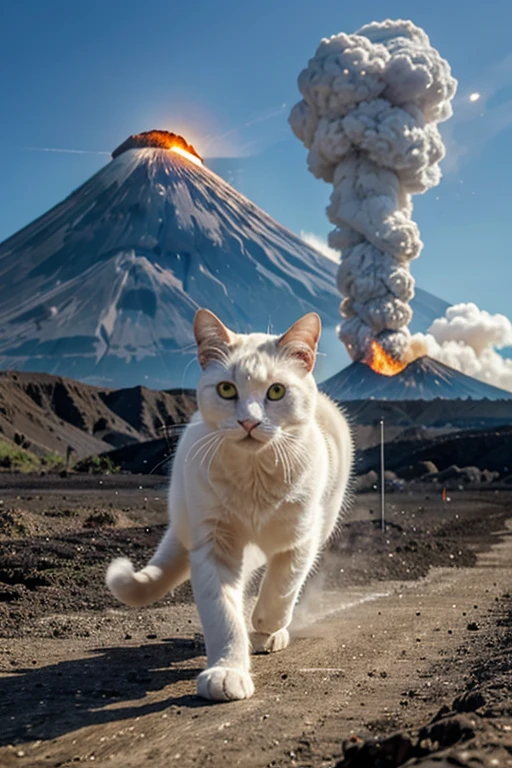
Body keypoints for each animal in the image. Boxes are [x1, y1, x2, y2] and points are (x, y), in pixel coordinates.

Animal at [106, 310, 354, 704]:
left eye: (276, 391)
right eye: (226, 389)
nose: (249, 421)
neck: (254, 480)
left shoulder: (301, 539)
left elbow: (281, 588)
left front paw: (266, 624)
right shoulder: (214, 544)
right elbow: (223, 613)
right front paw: (228, 670)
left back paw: (270, 633)